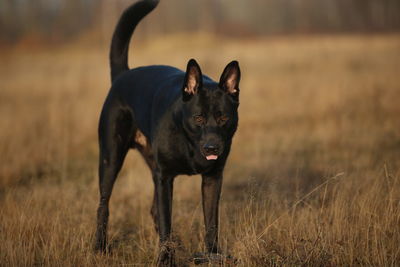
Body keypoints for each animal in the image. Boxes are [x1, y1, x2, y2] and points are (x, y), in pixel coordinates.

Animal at [95, 0, 241, 266]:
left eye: (224, 118)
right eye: (198, 118)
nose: (212, 148)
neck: (189, 143)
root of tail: (123, 75)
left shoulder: (213, 178)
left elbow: (211, 223)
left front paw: (213, 255)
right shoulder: (165, 178)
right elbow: (166, 221)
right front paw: (165, 259)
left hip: (150, 165)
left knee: (153, 210)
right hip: (111, 158)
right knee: (104, 204)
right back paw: (99, 247)